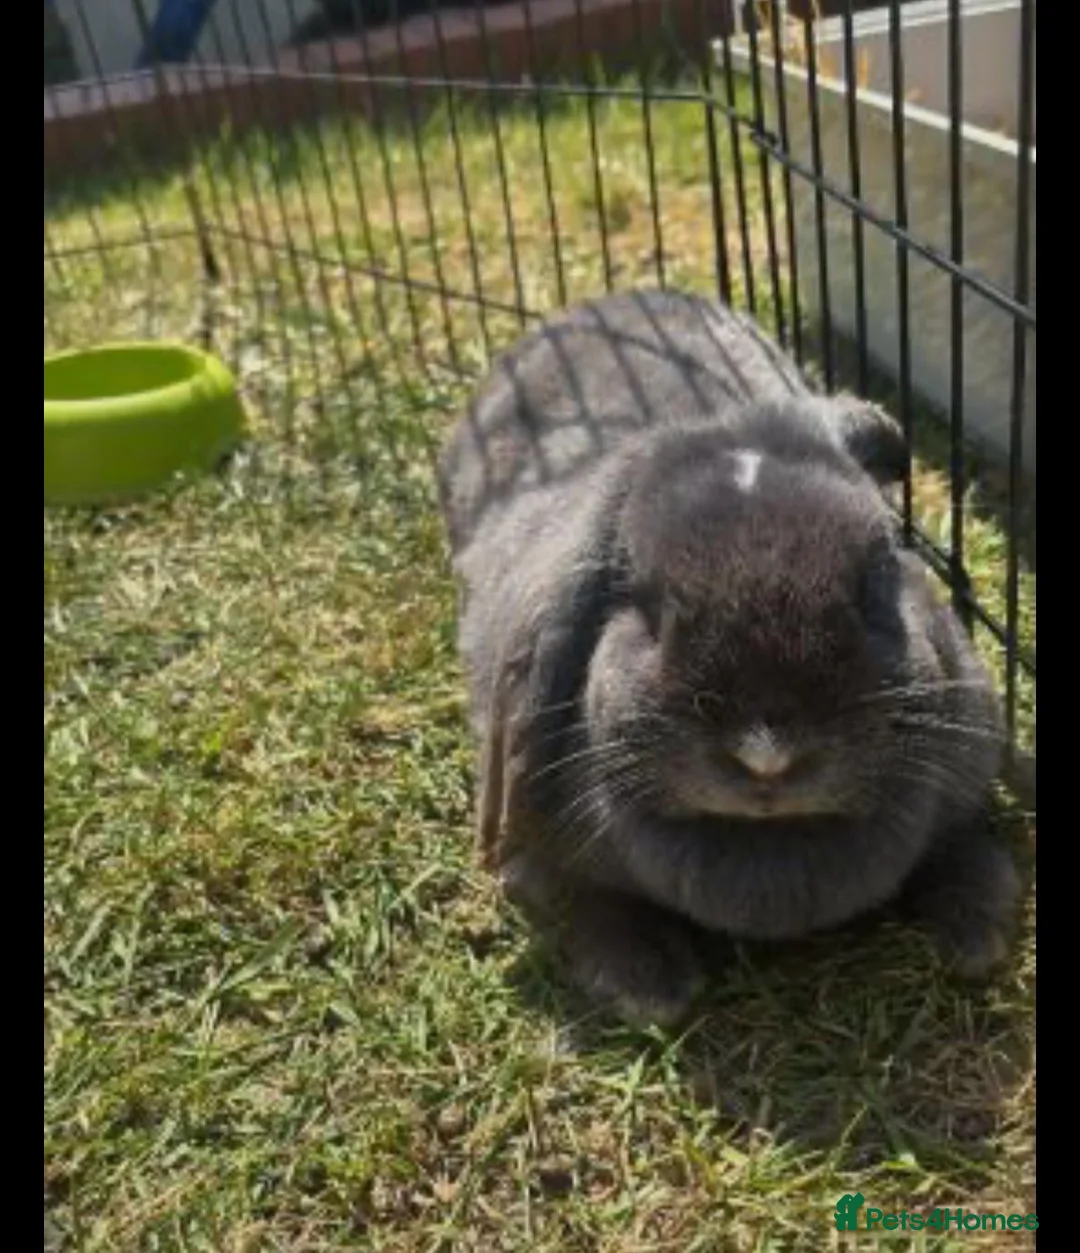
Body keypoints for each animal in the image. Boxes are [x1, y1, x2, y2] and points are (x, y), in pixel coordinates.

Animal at [437, 289, 1019, 1027]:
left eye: (876, 576)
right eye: (649, 610)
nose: (767, 756)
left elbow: (961, 848)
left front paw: (979, 938)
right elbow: (588, 901)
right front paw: (648, 988)